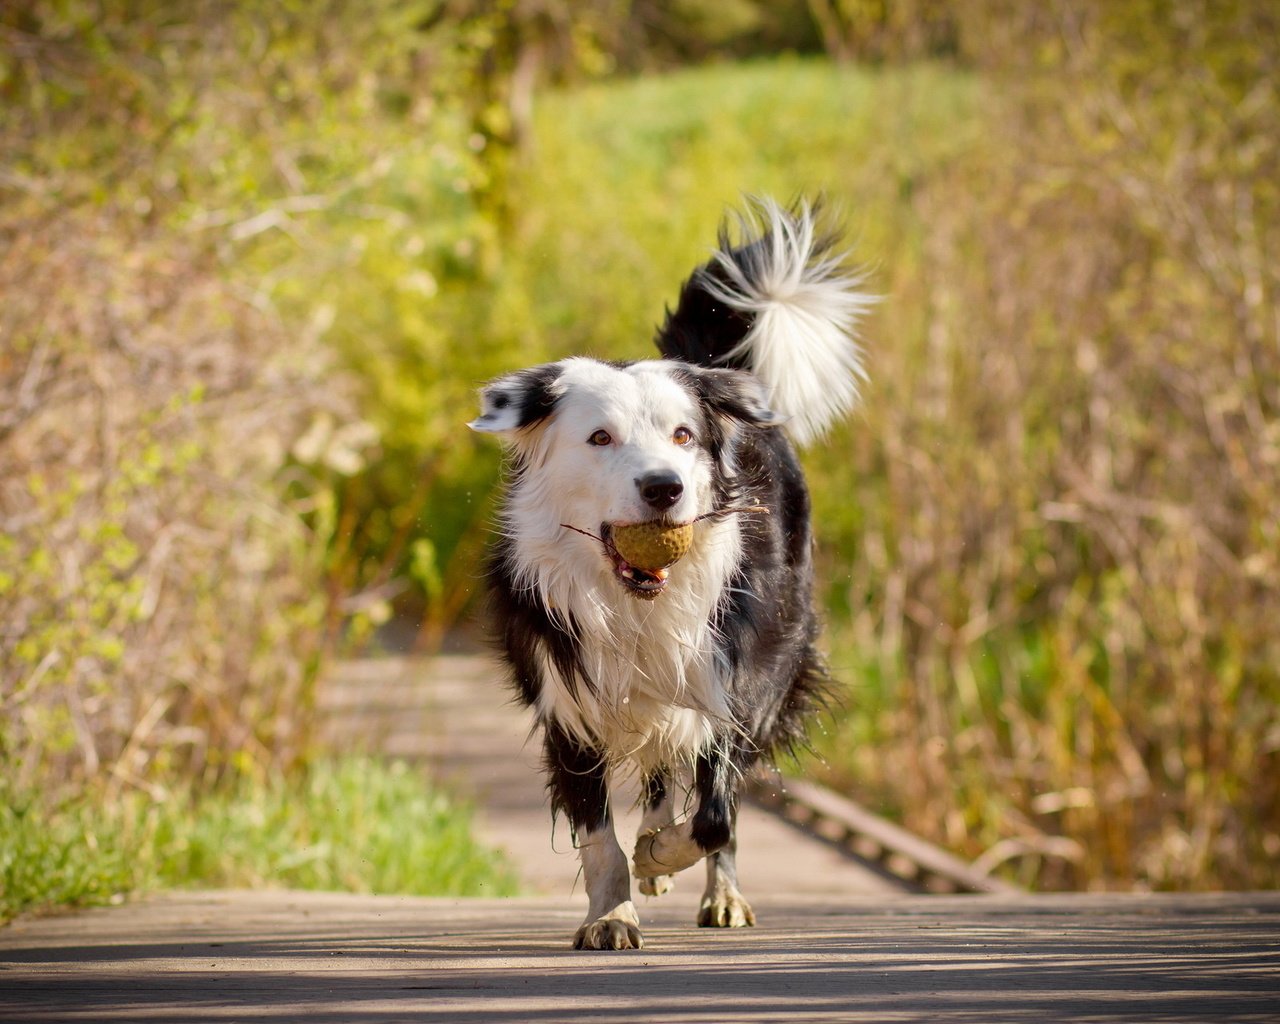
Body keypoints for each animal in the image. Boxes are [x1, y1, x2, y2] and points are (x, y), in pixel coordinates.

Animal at [476, 198, 875, 952]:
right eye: (599, 437)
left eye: (684, 435)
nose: (664, 488)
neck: (636, 603)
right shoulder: (568, 696)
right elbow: (598, 835)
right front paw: (612, 913)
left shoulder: (740, 679)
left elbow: (717, 812)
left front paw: (662, 857)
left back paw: (715, 891)